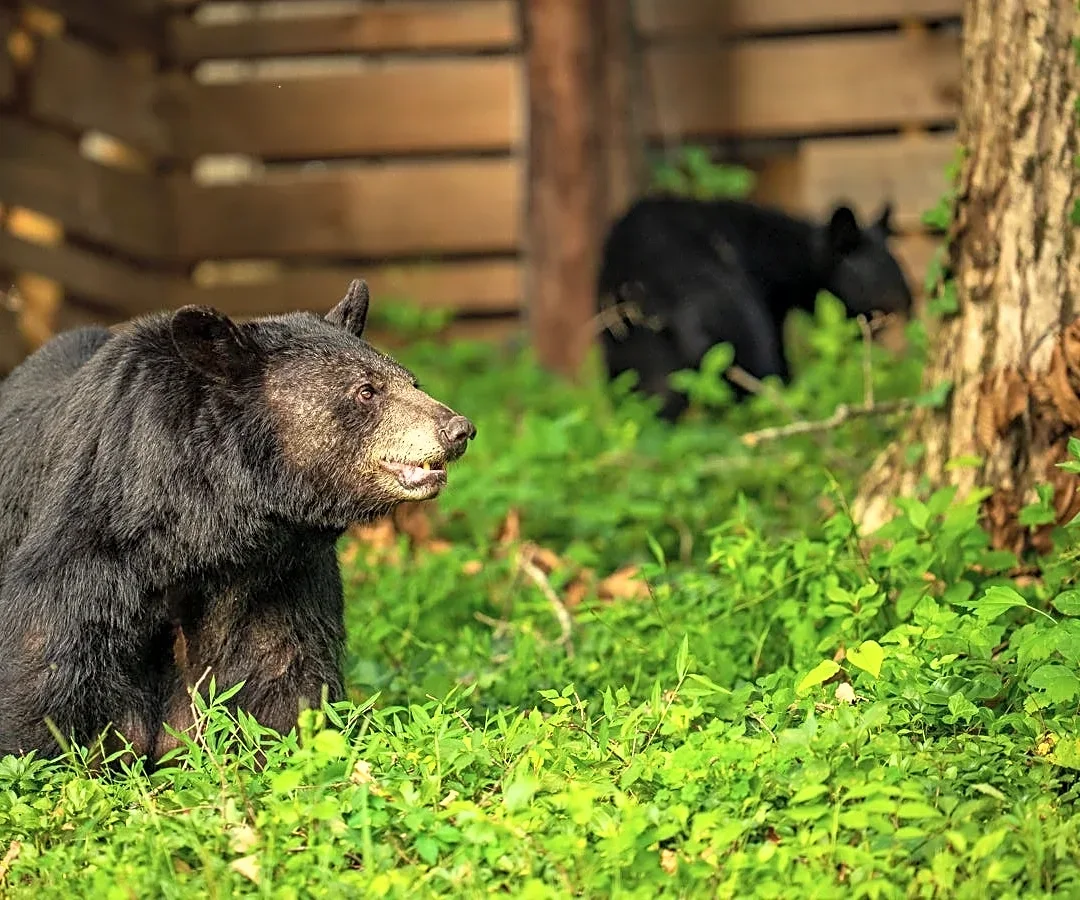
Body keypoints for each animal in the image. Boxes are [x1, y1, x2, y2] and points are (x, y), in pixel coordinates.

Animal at [0, 279, 475, 765]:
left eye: (412, 381)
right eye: (366, 390)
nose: (458, 429)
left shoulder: (279, 581)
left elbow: (282, 674)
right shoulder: (97, 544)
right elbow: (49, 664)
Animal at [596, 195, 914, 421]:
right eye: (883, 310)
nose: (895, 355)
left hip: (626, 333)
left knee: (652, 392)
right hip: (727, 311)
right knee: (757, 366)